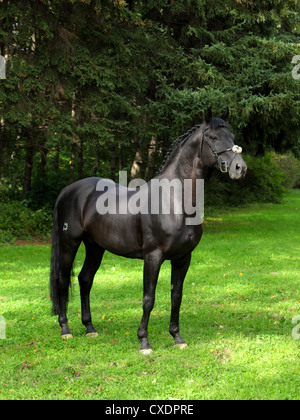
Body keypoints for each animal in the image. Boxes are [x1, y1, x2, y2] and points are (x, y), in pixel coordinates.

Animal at [49, 109, 246, 354]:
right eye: (212, 137)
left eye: (232, 135)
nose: (240, 168)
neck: (175, 200)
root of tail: (68, 190)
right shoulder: (153, 257)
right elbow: (148, 298)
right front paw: (144, 342)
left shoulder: (183, 258)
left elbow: (176, 296)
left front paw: (177, 338)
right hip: (69, 244)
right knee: (62, 281)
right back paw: (65, 329)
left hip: (95, 247)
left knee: (85, 280)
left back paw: (90, 328)